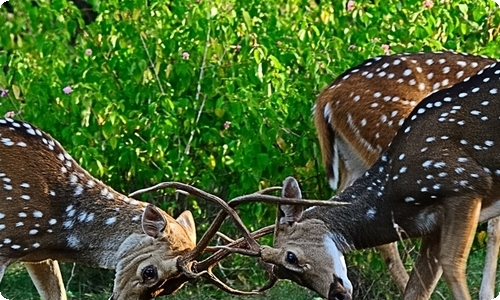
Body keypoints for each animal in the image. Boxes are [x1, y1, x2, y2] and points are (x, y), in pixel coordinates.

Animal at [256, 59, 500, 298]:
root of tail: (324, 98)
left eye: (291, 256)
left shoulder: (464, 183)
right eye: (286, 273)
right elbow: (421, 286)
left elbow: (451, 265)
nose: (337, 294)